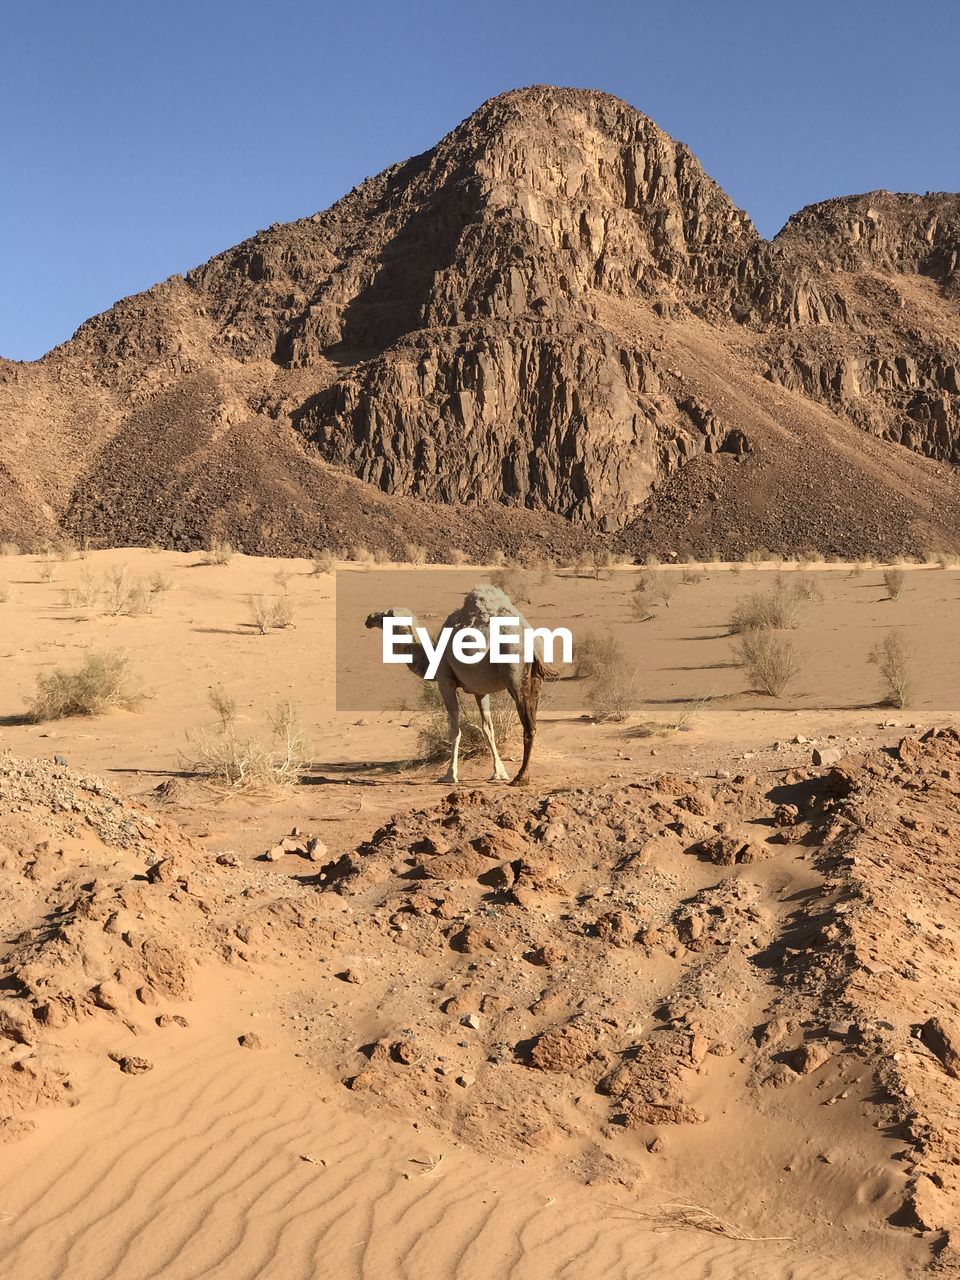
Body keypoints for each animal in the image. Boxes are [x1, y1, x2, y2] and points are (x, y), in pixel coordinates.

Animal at [366, 586, 560, 783]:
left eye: (385, 615)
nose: (368, 618)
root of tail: (534, 643)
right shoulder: (480, 690)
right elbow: (488, 728)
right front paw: (499, 772)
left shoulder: (445, 682)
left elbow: (455, 729)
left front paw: (450, 775)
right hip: (536, 679)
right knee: (532, 720)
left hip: (513, 673)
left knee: (528, 725)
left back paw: (520, 777)